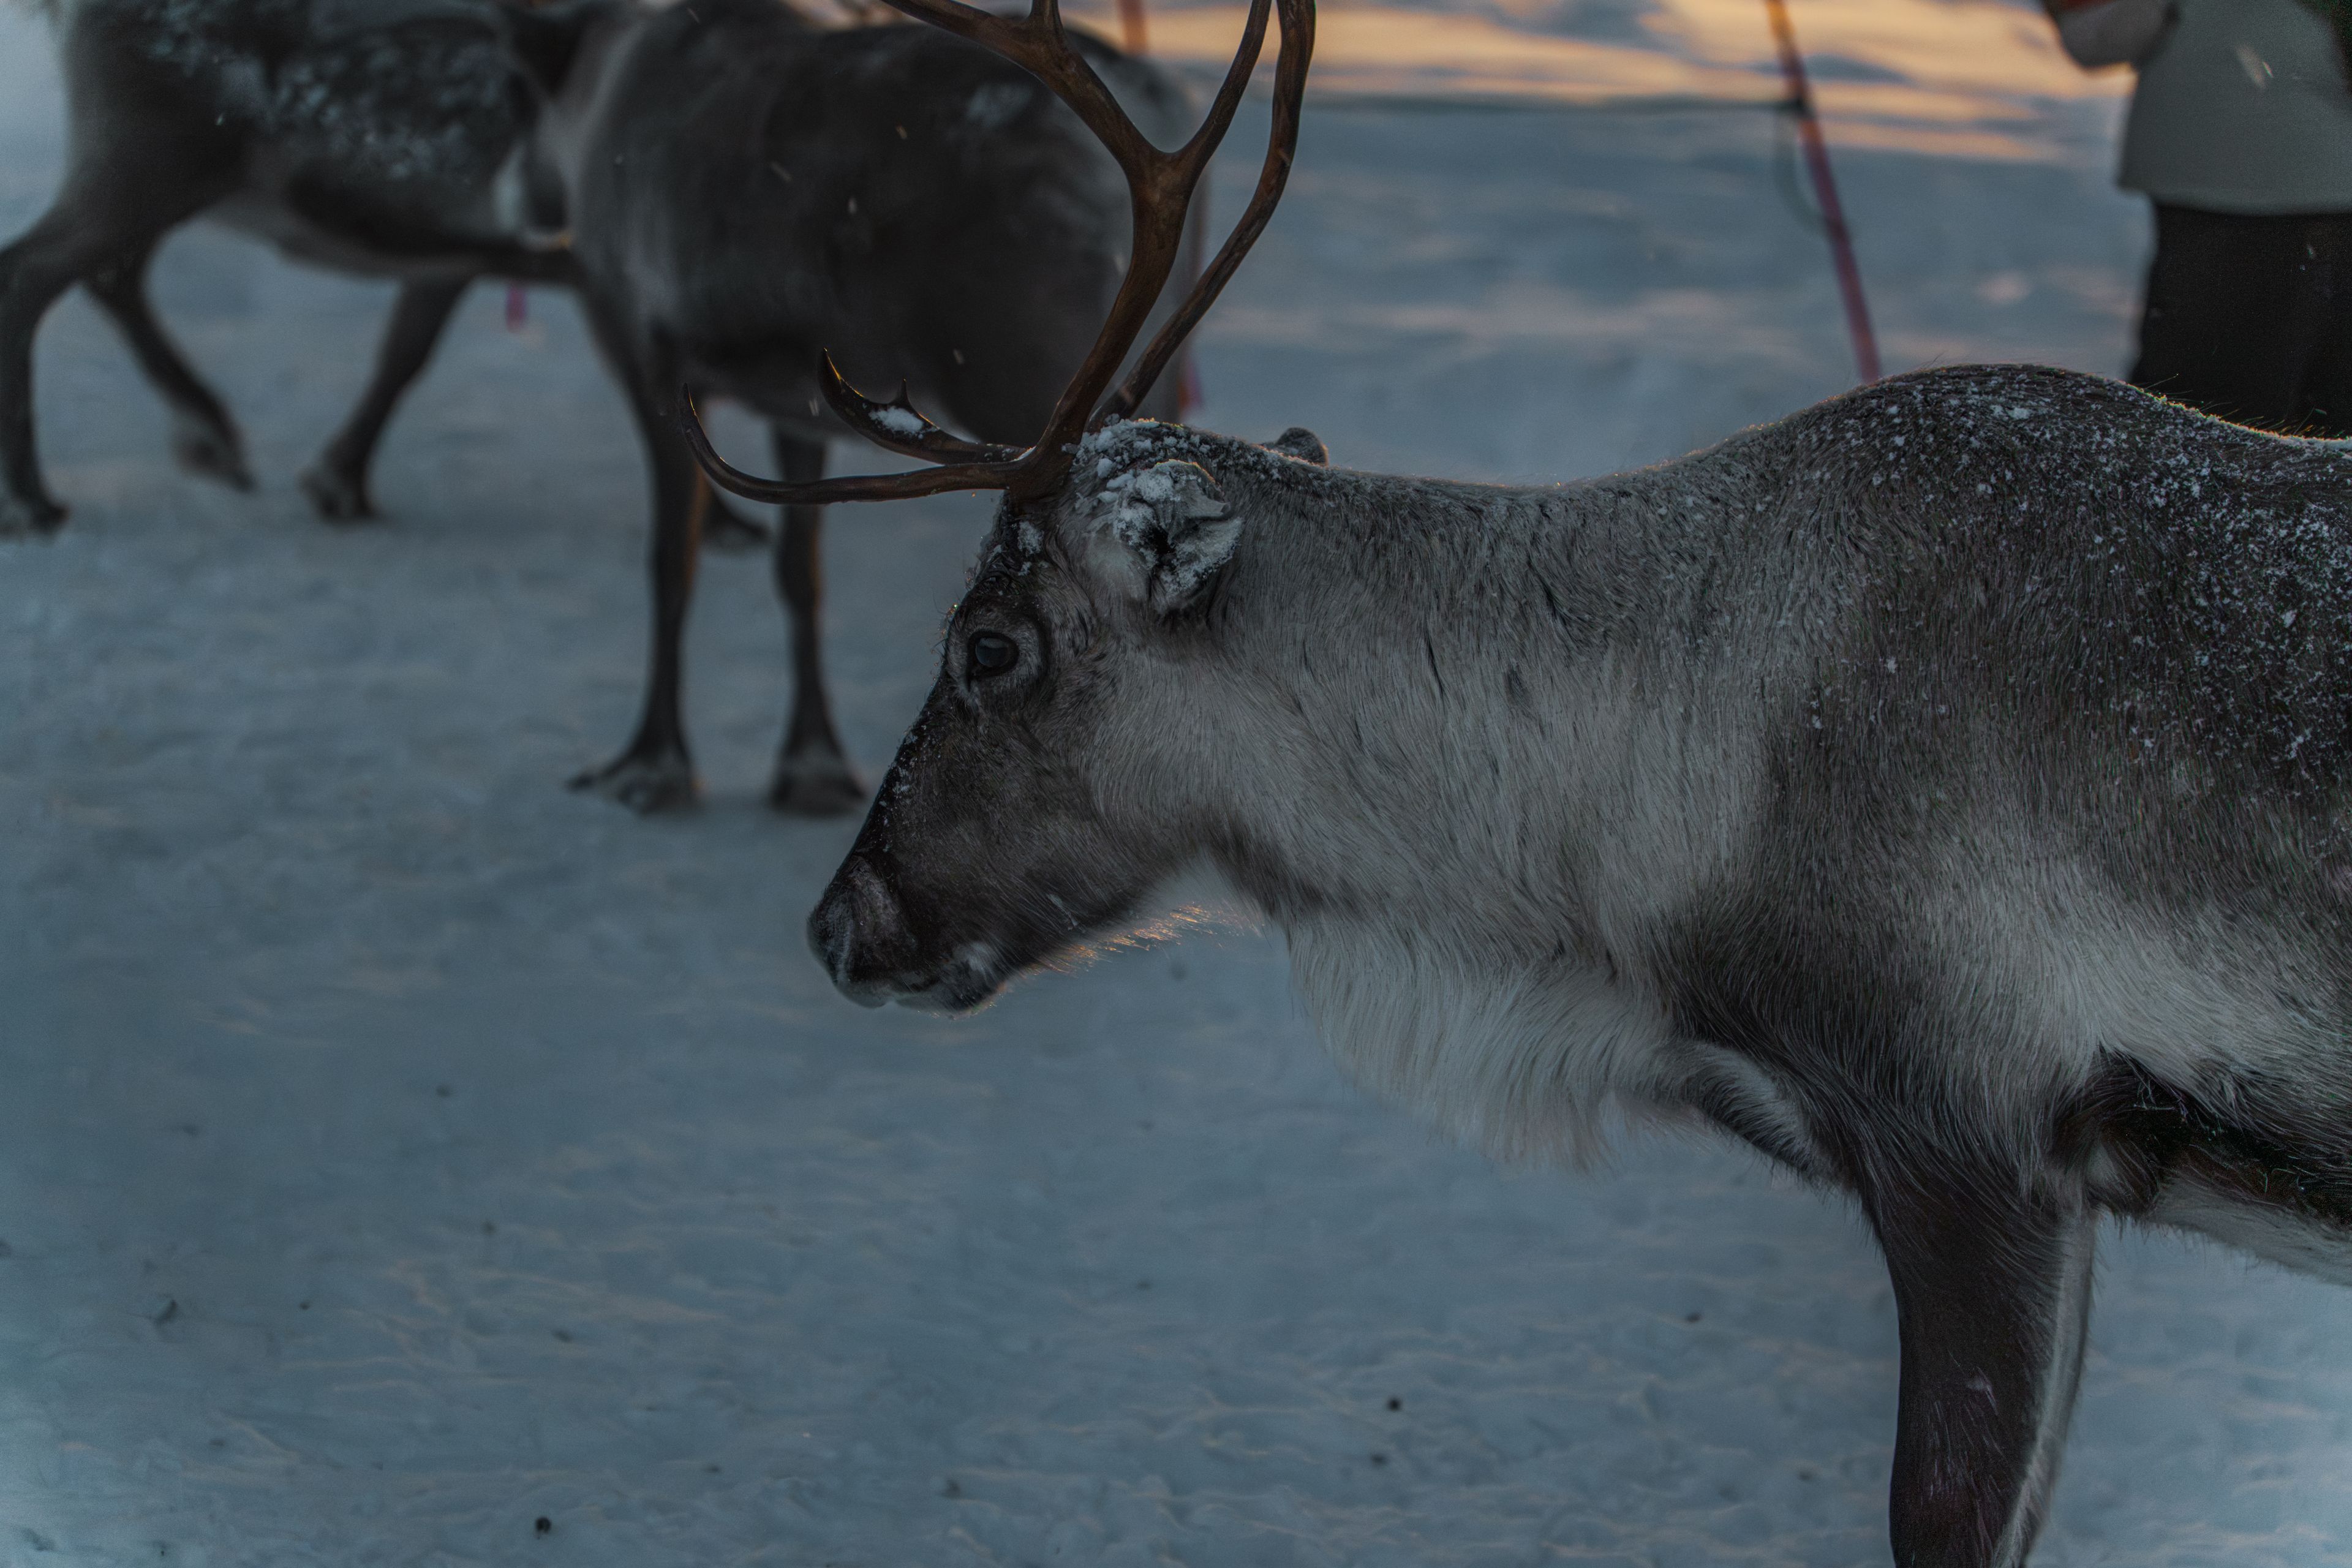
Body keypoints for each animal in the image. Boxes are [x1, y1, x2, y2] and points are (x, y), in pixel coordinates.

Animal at [1, 0, 1194, 813]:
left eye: (521, 90)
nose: (512, 202)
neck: (599, 78)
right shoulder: (796, 401)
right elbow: (790, 577)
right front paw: (804, 763)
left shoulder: (647, 342)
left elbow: (676, 561)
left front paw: (657, 762)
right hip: (150, 160)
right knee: (58, 272)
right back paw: (103, 475)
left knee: (61, 272)